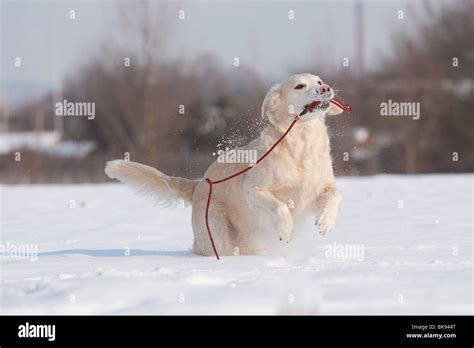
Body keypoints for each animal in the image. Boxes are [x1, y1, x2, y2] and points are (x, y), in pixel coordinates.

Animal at [105, 73, 342, 256]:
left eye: (319, 81)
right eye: (299, 86)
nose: (326, 88)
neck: (302, 144)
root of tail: (198, 184)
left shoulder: (315, 191)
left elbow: (336, 193)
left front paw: (326, 221)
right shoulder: (253, 190)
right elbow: (280, 206)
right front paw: (285, 230)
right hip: (217, 232)